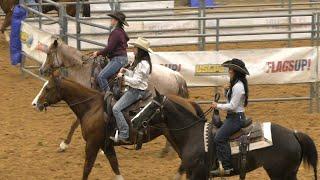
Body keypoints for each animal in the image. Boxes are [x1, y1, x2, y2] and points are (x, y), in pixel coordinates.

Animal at [31, 75, 186, 179]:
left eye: (47, 88)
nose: (35, 104)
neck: (93, 107)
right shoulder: (106, 145)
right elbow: (115, 167)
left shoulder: (92, 144)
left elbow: (87, 168)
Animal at [132, 91, 318, 180]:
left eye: (151, 107)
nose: (133, 120)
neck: (192, 136)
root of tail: (294, 134)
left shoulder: (197, 174)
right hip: (289, 173)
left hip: (279, 174)